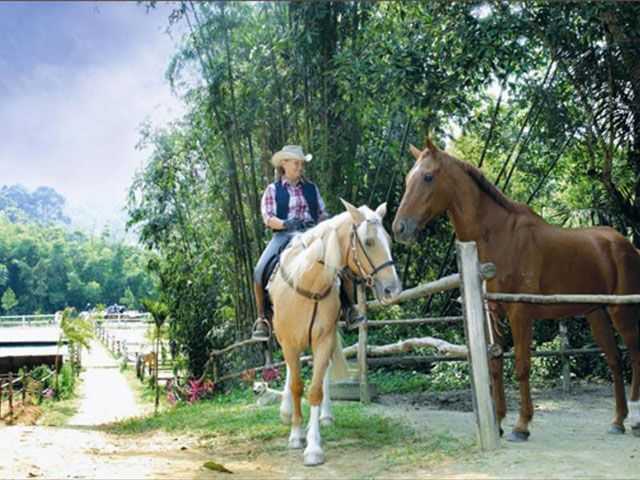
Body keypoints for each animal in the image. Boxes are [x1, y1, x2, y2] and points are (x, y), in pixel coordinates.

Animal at [268, 199, 401, 465]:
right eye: (369, 242)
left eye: (389, 241)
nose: (393, 289)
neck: (309, 283)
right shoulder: (289, 342)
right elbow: (297, 385)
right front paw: (296, 435)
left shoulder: (323, 339)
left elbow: (315, 390)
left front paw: (313, 447)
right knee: (290, 371)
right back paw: (287, 412)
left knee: (324, 373)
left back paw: (325, 417)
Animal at [392, 140, 640, 442]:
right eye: (408, 179)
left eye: (428, 177)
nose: (399, 228)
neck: (496, 237)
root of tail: (626, 245)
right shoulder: (492, 313)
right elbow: (496, 365)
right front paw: (498, 422)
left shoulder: (520, 313)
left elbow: (522, 367)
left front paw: (521, 426)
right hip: (597, 313)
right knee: (615, 361)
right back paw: (618, 420)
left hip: (621, 311)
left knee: (635, 355)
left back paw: (634, 420)